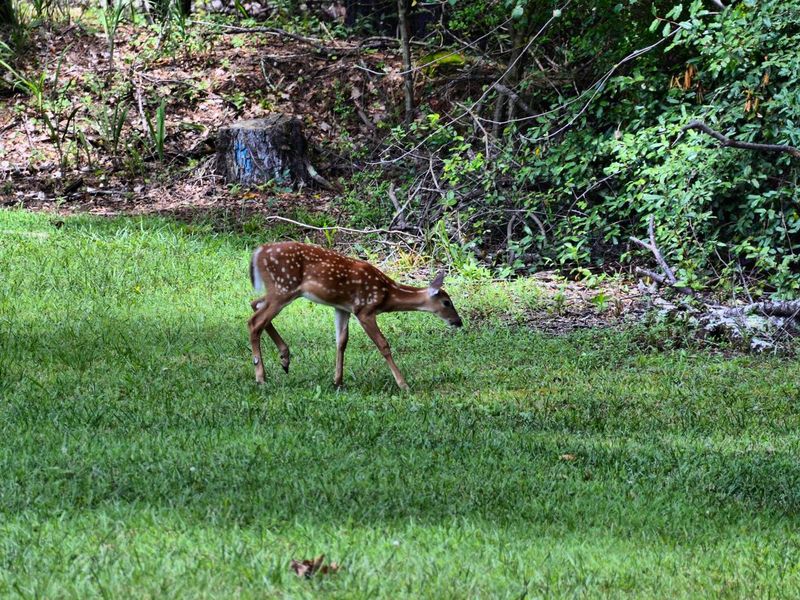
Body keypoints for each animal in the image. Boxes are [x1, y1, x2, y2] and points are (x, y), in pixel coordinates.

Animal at [247, 241, 463, 390]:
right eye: (447, 302)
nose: (458, 322)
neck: (387, 294)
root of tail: (258, 252)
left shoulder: (343, 308)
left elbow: (341, 342)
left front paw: (337, 382)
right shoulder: (364, 309)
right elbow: (383, 344)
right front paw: (404, 385)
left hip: (280, 290)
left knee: (254, 304)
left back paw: (284, 359)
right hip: (283, 287)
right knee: (254, 322)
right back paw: (261, 377)